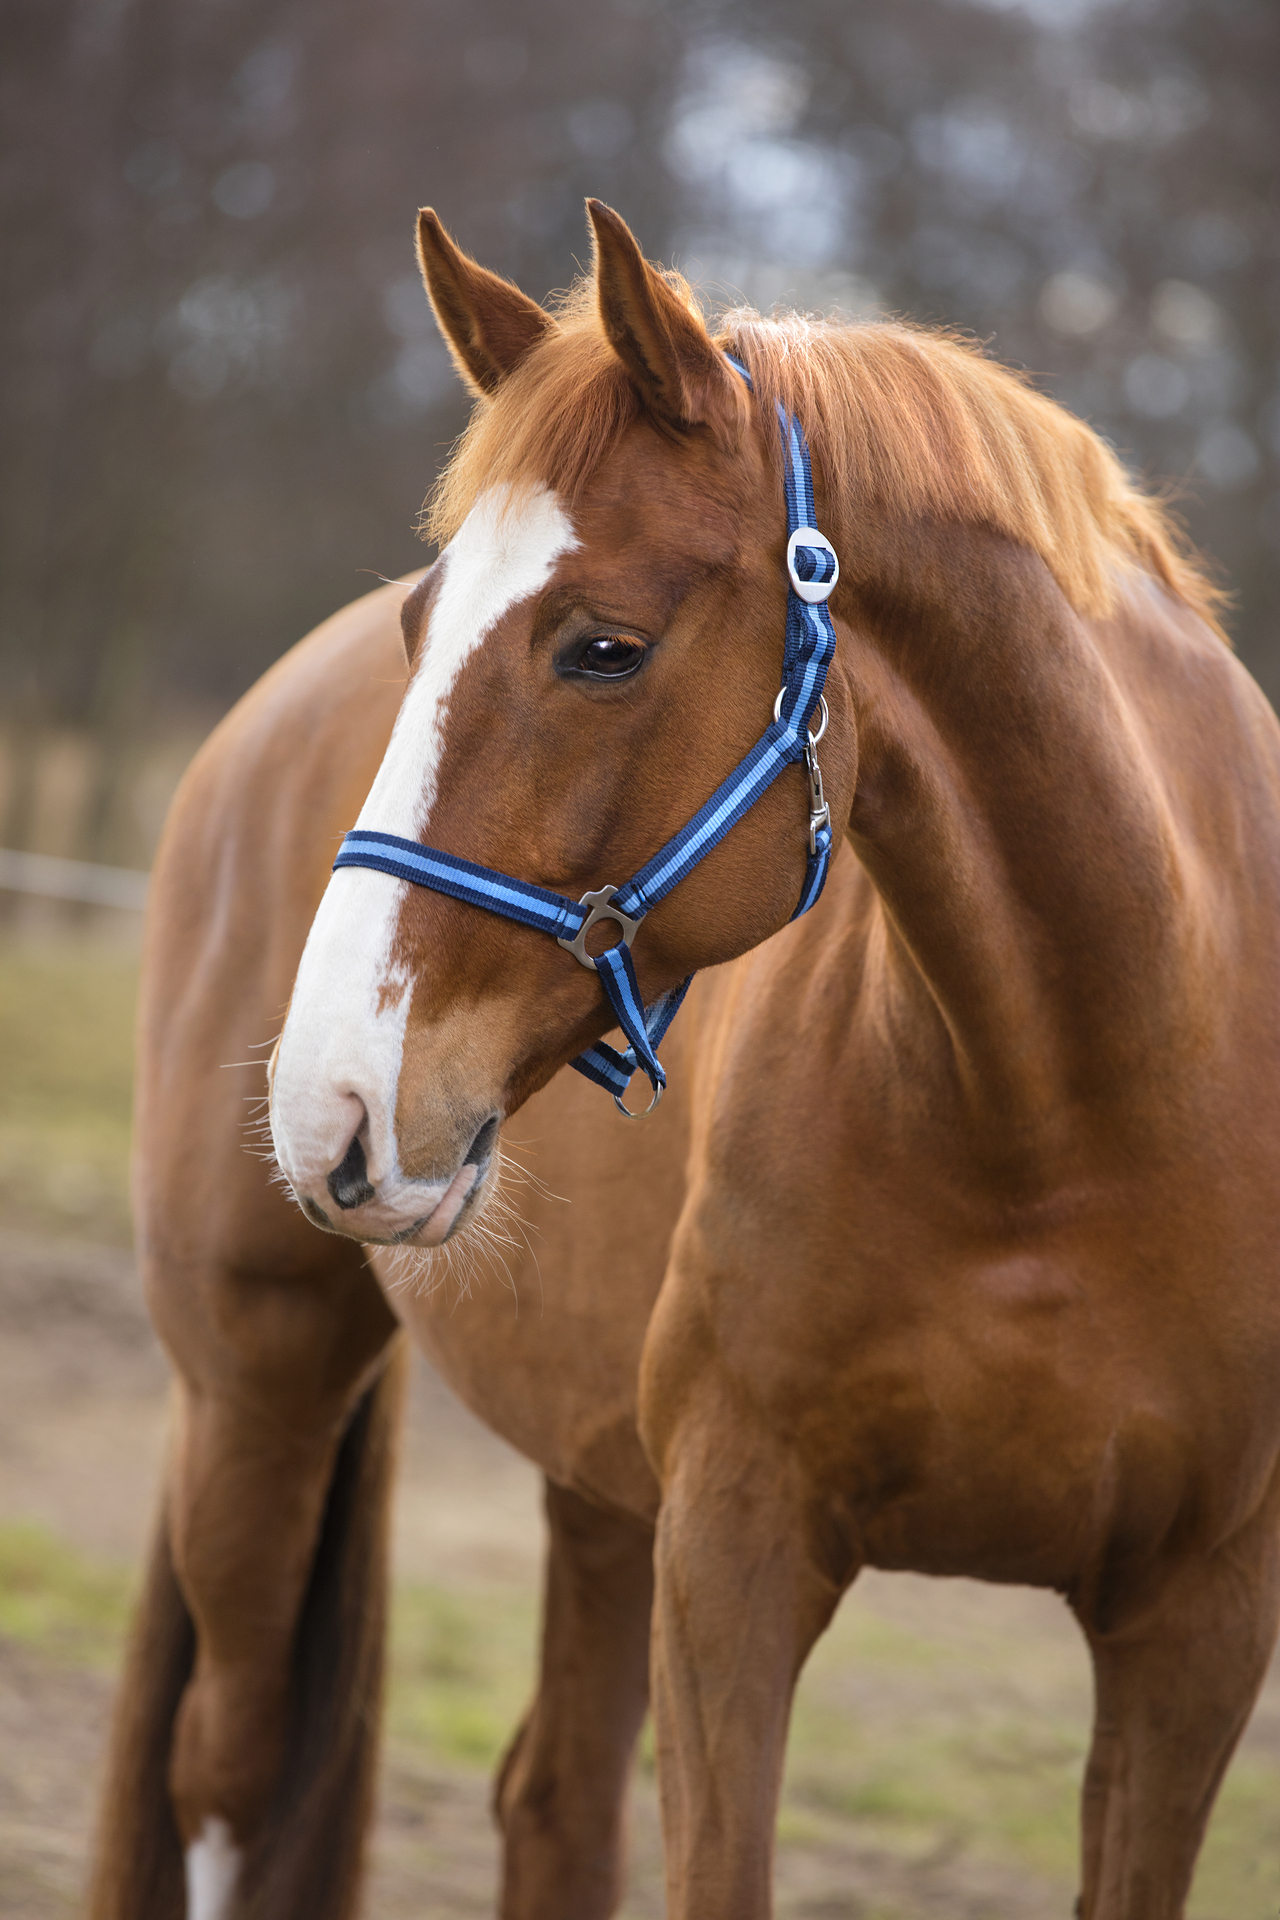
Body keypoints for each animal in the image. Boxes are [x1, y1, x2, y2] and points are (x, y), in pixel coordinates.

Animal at [88, 197, 1280, 1920]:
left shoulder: (1197, 1626)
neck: (1073, 1109)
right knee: (224, 1778)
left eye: (604, 647)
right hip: (258, 1380)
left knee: (551, 1802)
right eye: (420, 625)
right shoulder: (734, 1554)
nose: (329, 1102)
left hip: (593, 1489)